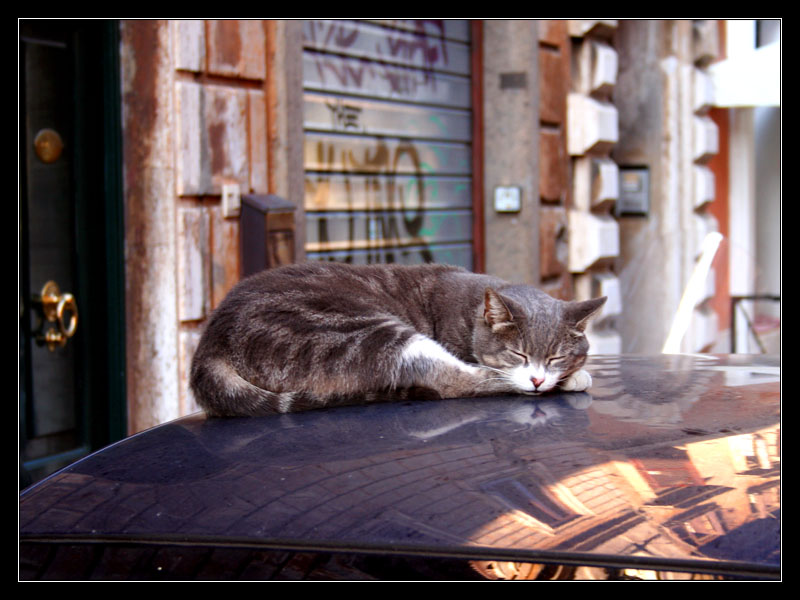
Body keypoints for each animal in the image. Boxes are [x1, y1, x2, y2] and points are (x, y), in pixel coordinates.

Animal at [191, 262, 604, 418]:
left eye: (556, 358)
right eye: (517, 353)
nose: (537, 378)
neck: (472, 308)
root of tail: (210, 342)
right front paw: (572, 379)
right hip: (369, 332)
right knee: (451, 381)